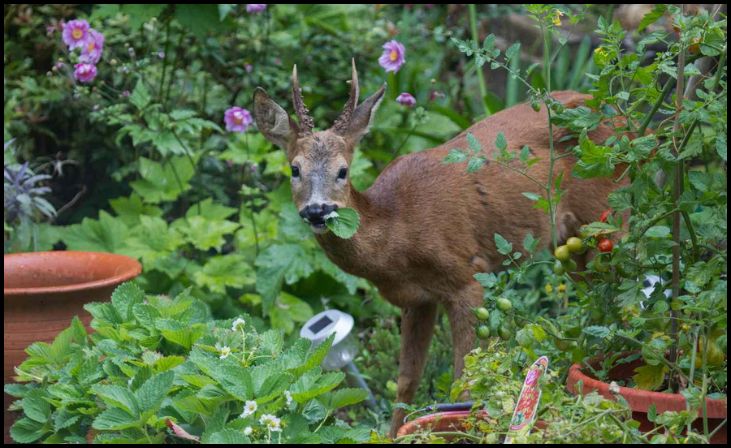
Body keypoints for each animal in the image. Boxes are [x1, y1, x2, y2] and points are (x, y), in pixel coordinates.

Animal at [254, 61, 628, 436]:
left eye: (343, 171)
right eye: (295, 169)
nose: (317, 210)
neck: (398, 234)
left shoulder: (467, 278)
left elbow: (464, 381)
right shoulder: (416, 299)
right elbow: (406, 380)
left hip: (608, 215)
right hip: (571, 244)